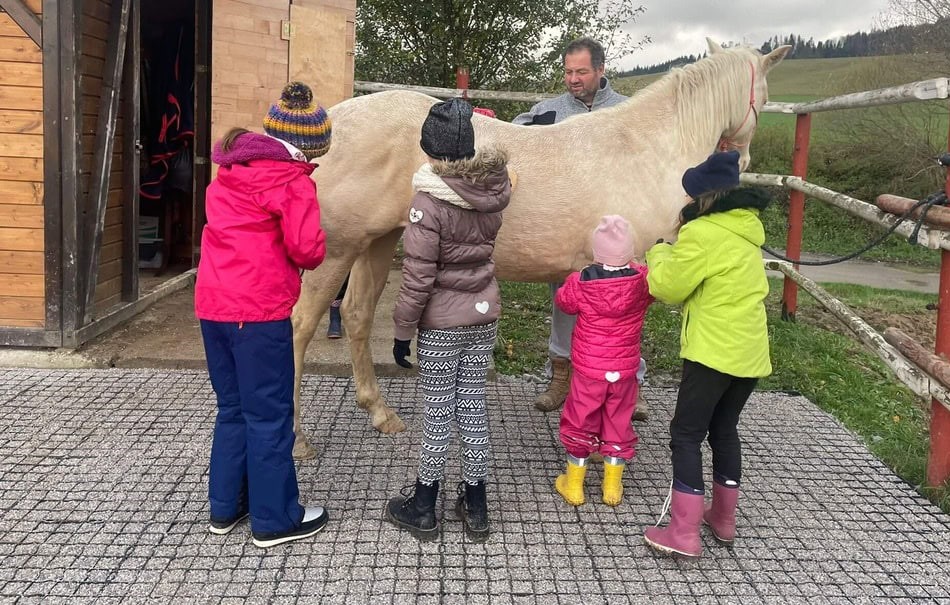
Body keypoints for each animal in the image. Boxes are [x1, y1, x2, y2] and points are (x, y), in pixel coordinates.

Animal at [292, 39, 796, 458]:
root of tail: (332, 125)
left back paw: (381, 414)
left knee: (356, 314)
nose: (743, 159)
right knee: (299, 325)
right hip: (337, 250)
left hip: (378, 241)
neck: (644, 149)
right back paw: (298, 440)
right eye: (765, 94)